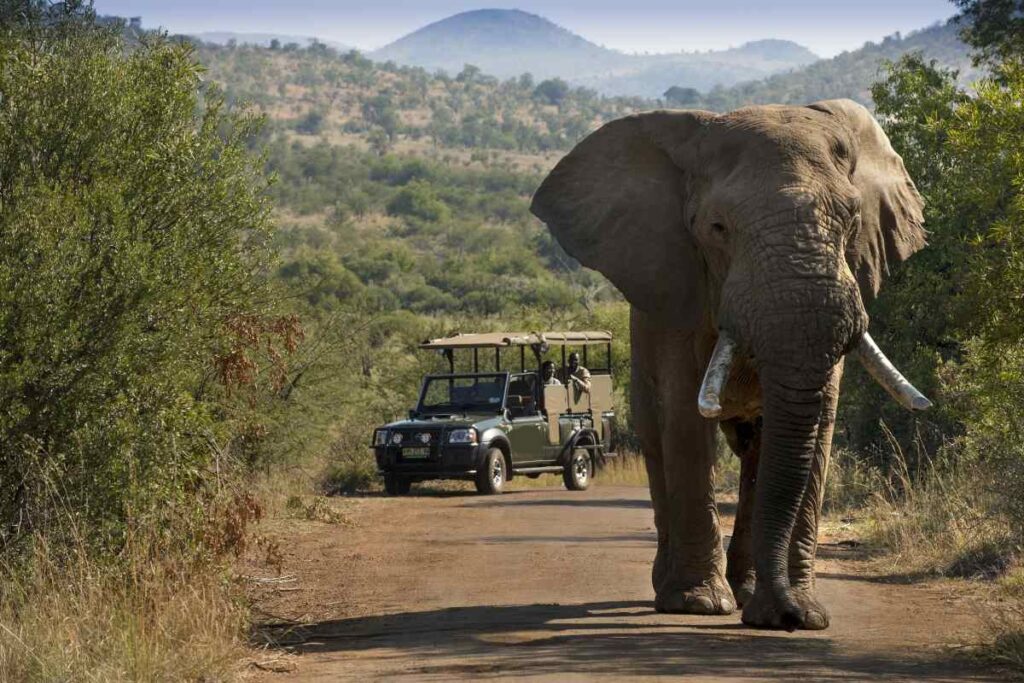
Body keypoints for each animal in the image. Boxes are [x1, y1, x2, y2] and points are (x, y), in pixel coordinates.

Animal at [530, 99, 931, 631]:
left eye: (851, 220)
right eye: (717, 228)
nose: (787, 616)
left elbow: (819, 423)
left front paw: (804, 615)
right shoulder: (677, 290)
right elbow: (685, 418)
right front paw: (698, 604)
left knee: (757, 449)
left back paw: (746, 592)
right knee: (658, 438)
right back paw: (676, 589)